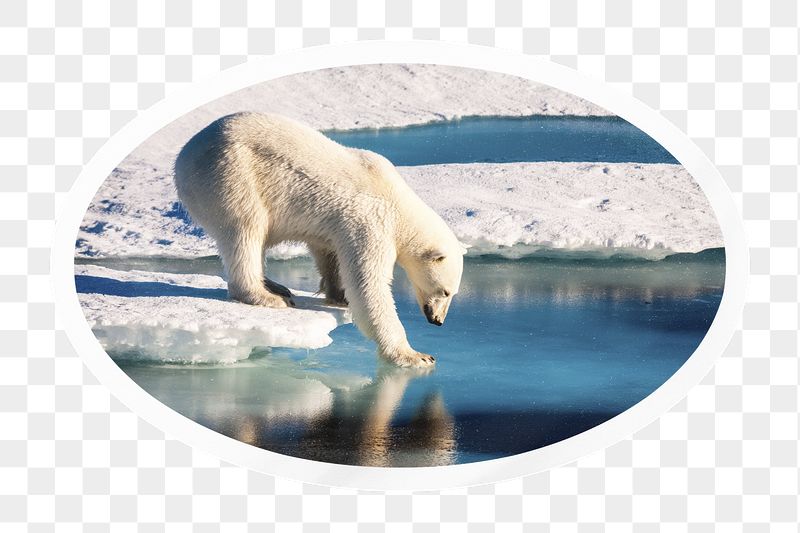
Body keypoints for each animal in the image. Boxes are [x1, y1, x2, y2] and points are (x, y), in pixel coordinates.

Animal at [174, 112, 465, 367]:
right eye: (445, 291)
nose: (438, 320)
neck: (398, 202)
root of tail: (184, 156)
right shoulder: (371, 222)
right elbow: (369, 285)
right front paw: (416, 355)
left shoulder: (338, 225)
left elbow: (329, 252)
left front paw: (339, 295)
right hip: (230, 175)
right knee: (245, 230)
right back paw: (267, 296)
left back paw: (276, 286)